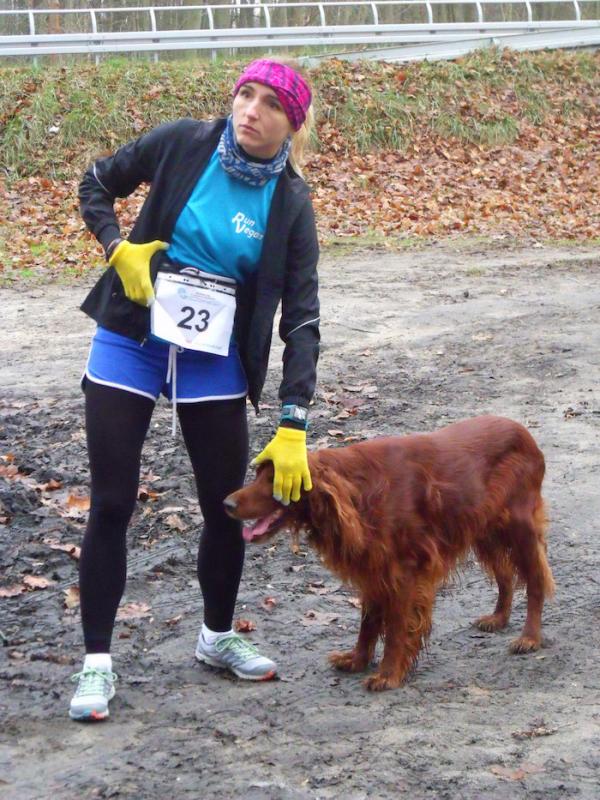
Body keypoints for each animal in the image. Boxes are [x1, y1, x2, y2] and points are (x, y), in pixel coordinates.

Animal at [224, 416, 554, 691]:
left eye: (275, 480)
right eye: (257, 474)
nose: (226, 503)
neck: (359, 492)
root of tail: (524, 433)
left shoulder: (405, 571)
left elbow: (396, 628)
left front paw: (388, 674)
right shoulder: (374, 567)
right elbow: (368, 623)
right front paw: (357, 659)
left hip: (519, 527)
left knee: (536, 581)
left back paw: (529, 637)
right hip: (485, 530)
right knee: (505, 575)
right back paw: (498, 617)